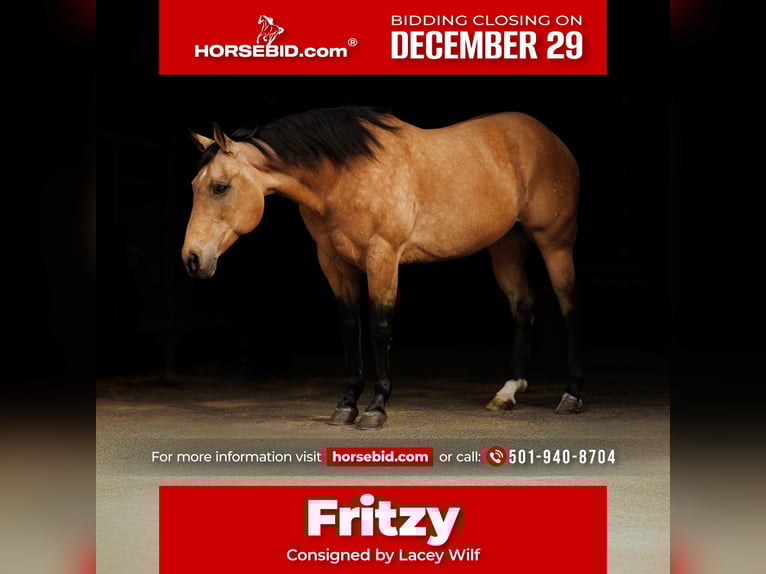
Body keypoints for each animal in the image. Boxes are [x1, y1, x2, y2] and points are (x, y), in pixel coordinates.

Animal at [182, 106, 584, 430]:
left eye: (220, 187)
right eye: (195, 186)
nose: (193, 259)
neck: (342, 176)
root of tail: (550, 138)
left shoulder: (382, 257)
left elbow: (378, 328)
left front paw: (376, 409)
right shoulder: (333, 262)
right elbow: (350, 328)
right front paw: (346, 405)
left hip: (555, 244)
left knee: (569, 308)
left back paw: (572, 396)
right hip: (506, 245)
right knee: (523, 308)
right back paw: (508, 392)